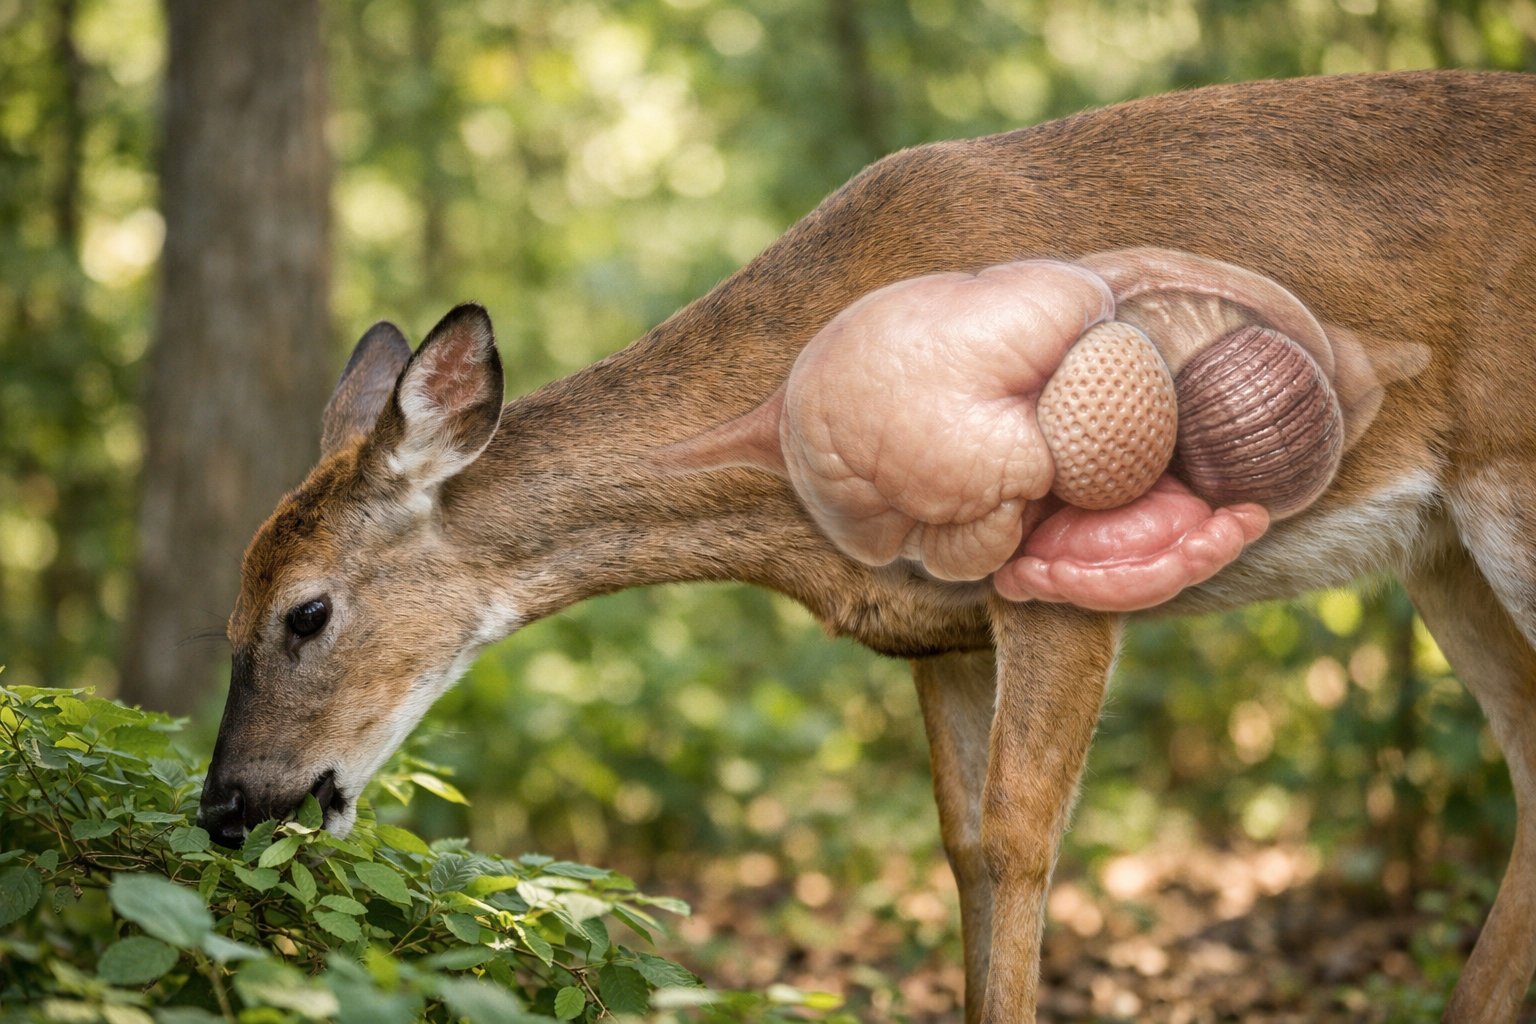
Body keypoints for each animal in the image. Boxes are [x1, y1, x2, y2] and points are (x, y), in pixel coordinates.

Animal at [198, 69, 1536, 1021]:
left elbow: (1021, 840)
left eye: (308, 610)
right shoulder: (939, 632)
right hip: (1438, 547)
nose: (225, 805)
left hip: (1509, 482)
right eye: (232, 612)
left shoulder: (1066, 573)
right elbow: (963, 847)